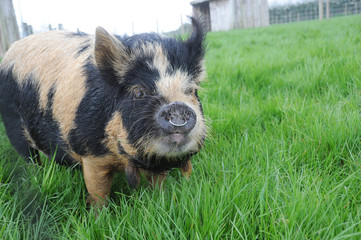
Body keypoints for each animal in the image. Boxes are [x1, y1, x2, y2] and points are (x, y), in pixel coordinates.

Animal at [0, 16, 207, 205]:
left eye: (191, 90)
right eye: (139, 92)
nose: (178, 107)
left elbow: (157, 182)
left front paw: (160, 201)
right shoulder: (90, 155)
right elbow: (98, 190)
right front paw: (97, 215)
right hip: (12, 122)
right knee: (29, 158)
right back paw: (37, 177)